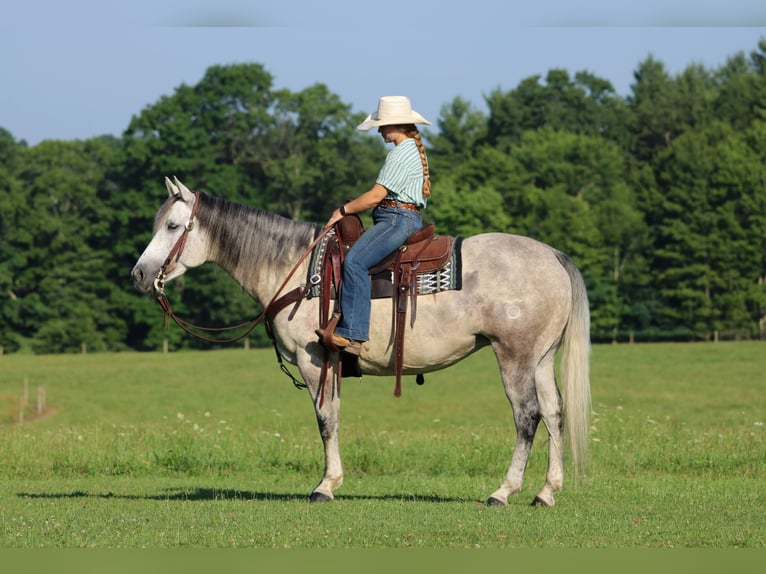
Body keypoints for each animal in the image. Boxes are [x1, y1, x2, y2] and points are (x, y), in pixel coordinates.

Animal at [131, 176, 591, 507]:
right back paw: (545, 493)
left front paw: (325, 485)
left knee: (527, 416)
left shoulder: (315, 361)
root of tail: (552, 255)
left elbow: (325, 419)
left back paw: (503, 492)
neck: (299, 271)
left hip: (514, 356)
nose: (139, 274)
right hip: (541, 358)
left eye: (172, 226)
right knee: (554, 414)